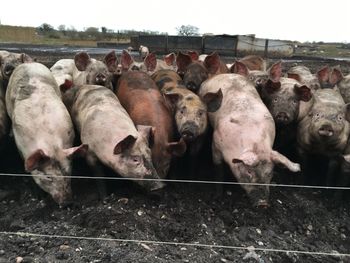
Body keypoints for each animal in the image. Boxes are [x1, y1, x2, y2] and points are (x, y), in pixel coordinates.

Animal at [5, 62, 86, 206]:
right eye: (48, 177)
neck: (52, 145)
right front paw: (39, 197)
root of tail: (28, 63)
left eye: (68, 172)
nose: (67, 202)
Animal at [198, 73, 300, 207]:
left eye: (269, 174)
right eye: (249, 172)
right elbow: (218, 170)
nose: (263, 204)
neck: (256, 144)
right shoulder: (216, 144)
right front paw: (217, 197)